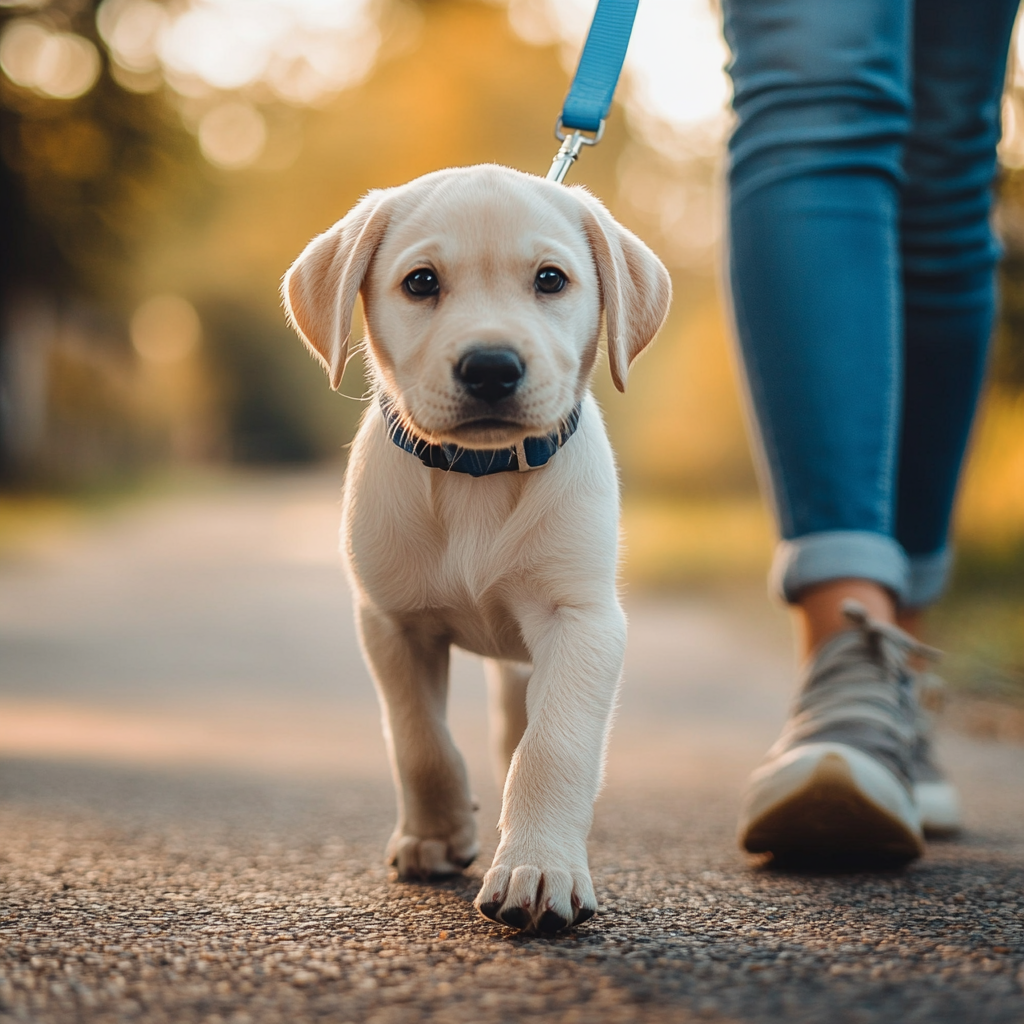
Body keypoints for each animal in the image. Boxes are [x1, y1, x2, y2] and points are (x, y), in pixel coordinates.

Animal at [282, 163, 671, 933]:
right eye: (421, 282)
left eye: (551, 279)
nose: (491, 366)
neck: (477, 478)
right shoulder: (391, 622)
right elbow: (418, 738)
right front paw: (436, 835)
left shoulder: (581, 621)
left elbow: (552, 745)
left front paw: (540, 866)